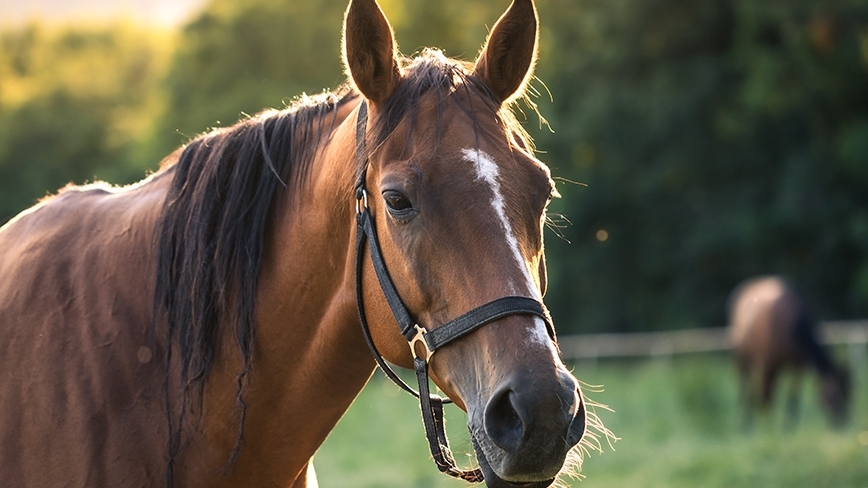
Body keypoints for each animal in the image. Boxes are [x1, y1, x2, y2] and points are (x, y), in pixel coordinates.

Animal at [728, 274, 852, 428]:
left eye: (849, 394)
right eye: (834, 395)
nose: (842, 423)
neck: (791, 325)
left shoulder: (798, 366)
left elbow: (793, 395)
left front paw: (789, 424)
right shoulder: (769, 365)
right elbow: (767, 395)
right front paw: (768, 426)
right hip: (742, 357)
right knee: (744, 386)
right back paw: (745, 423)